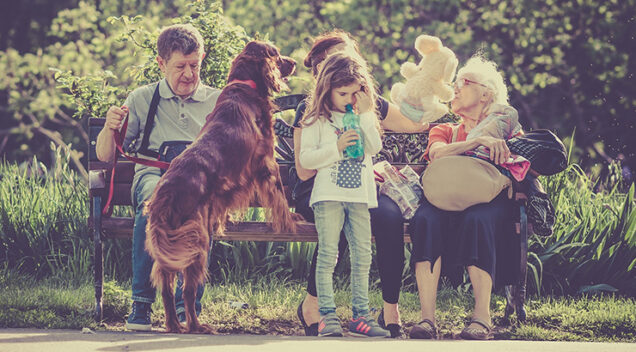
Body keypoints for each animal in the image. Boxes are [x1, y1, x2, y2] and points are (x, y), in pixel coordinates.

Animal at [144, 40, 300, 332]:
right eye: (275, 53)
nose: (295, 61)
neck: (245, 85)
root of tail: (165, 194)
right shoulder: (266, 161)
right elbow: (279, 195)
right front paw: (290, 220)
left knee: (167, 288)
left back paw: (174, 324)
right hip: (196, 242)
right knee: (188, 290)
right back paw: (196, 326)